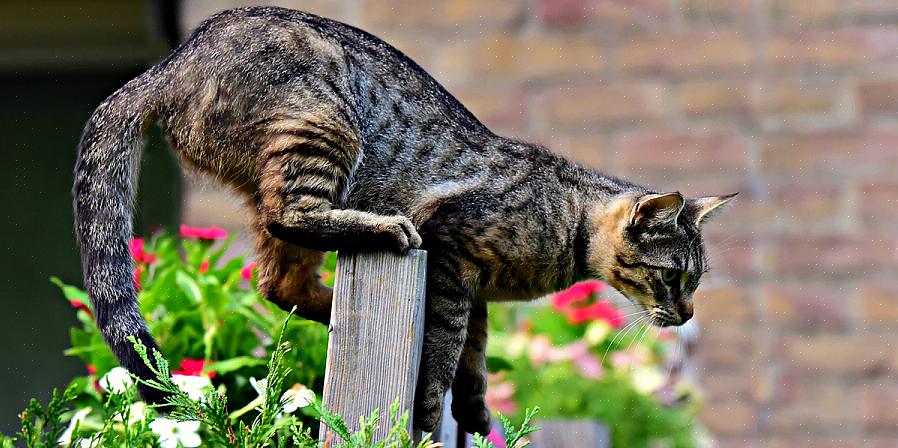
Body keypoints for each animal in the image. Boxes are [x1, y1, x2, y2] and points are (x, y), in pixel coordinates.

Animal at [73, 5, 732, 436]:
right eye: (672, 277)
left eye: (694, 282)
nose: (686, 313)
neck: (566, 223)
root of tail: (168, 65)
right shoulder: (452, 261)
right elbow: (444, 353)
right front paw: (431, 411)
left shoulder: (476, 293)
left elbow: (475, 357)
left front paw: (475, 412)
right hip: (322, 127)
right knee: (293, 219)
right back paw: (384, 230)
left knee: (278, 282)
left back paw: (333, 310)